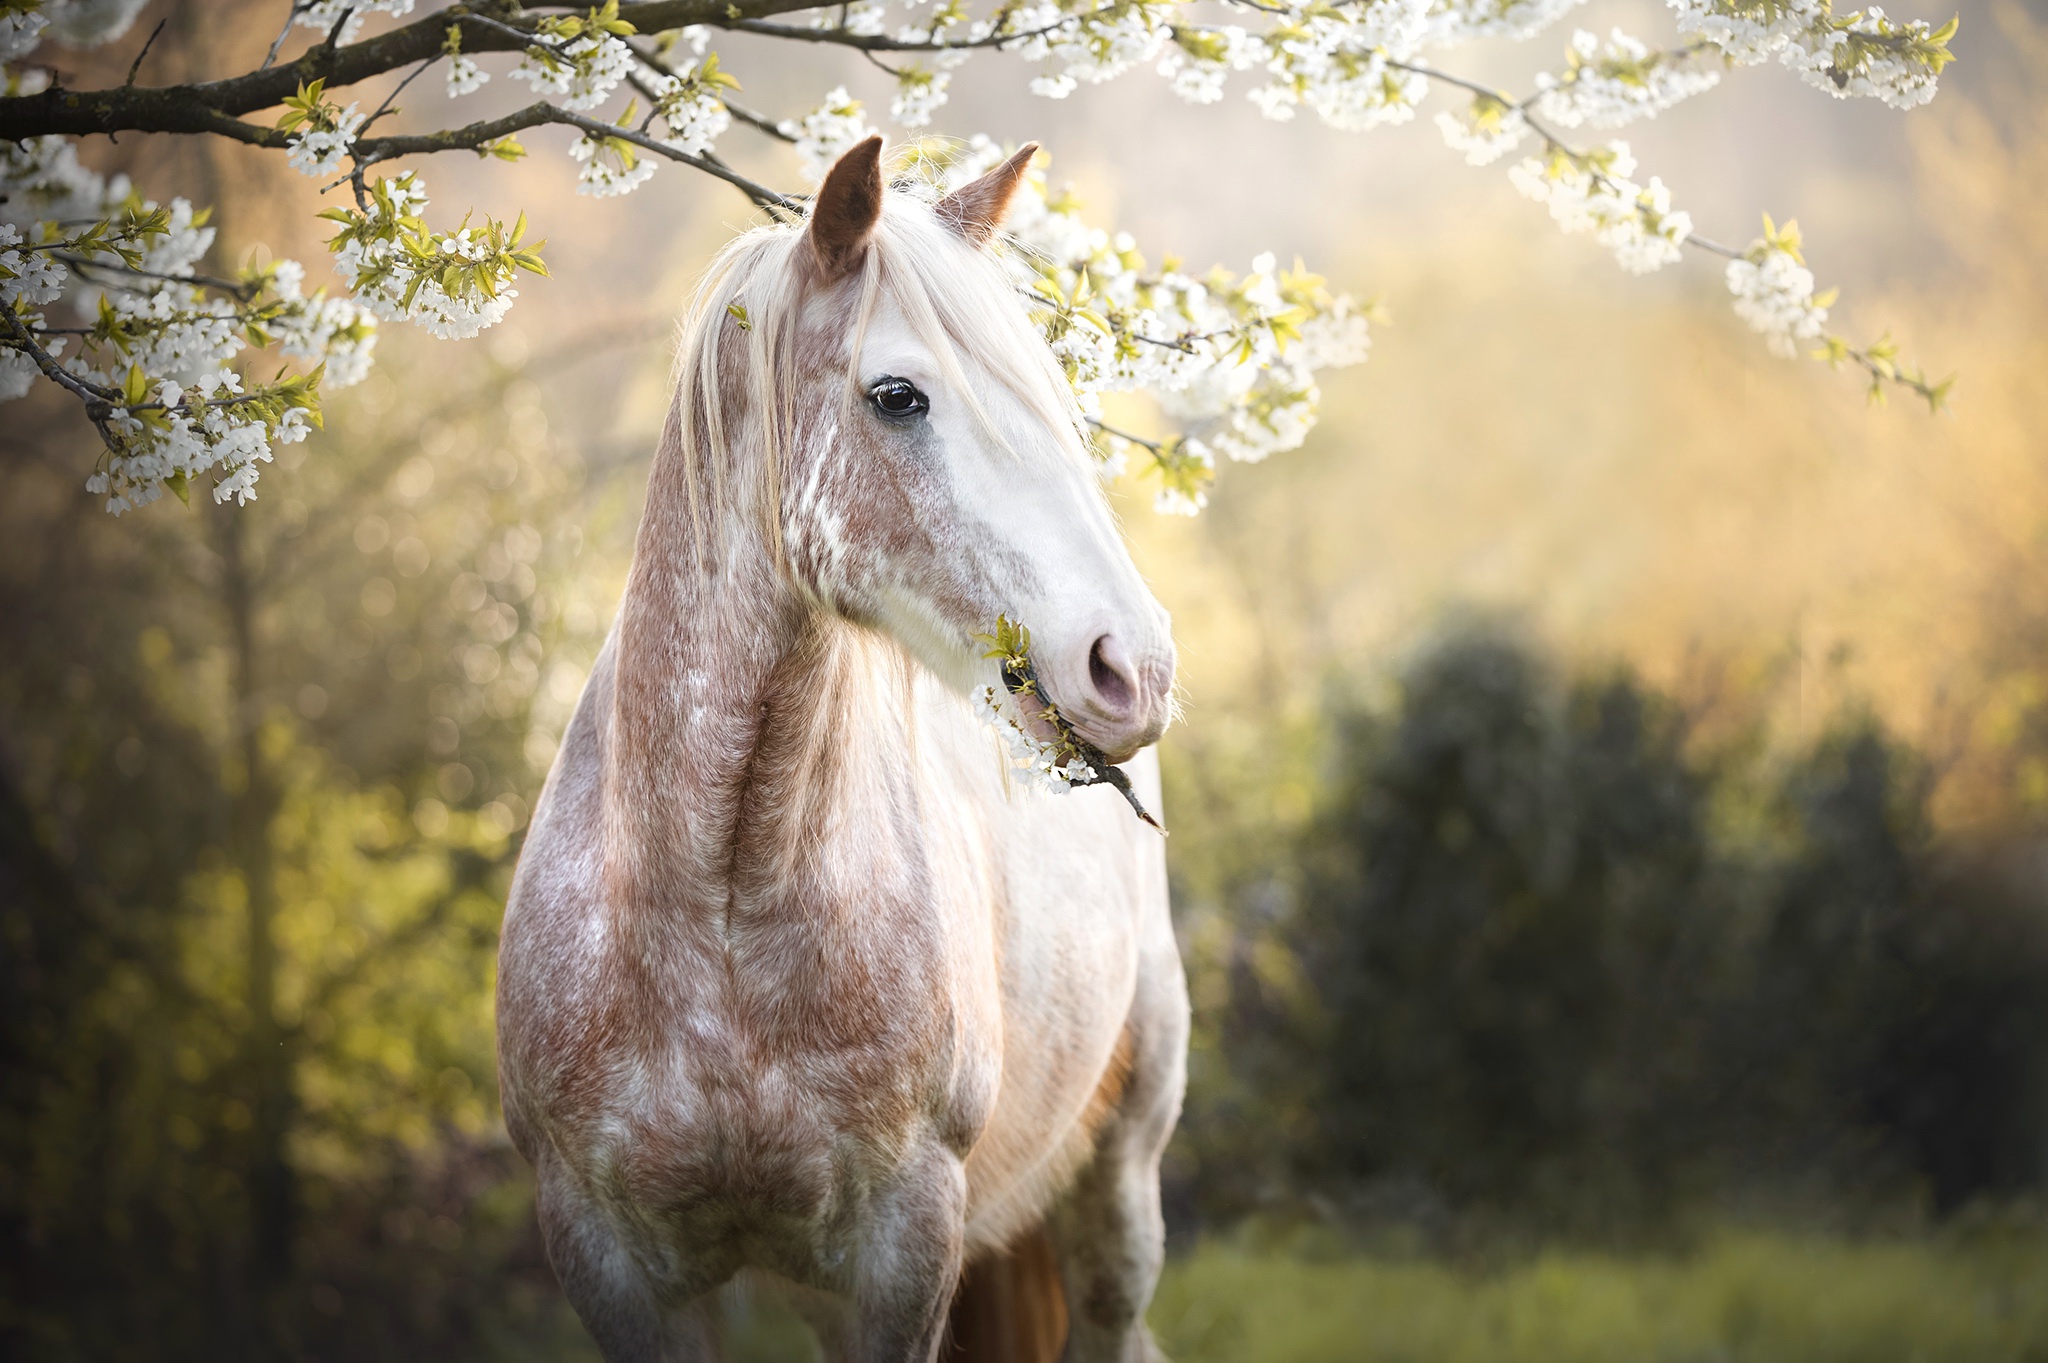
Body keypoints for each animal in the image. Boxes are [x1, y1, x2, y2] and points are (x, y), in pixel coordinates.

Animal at [495, 140, 1196, 1358]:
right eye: (897, 395)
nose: (1131, 664)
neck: (720, 917)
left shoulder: (901, 1248)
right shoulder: (610, 1259)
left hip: (1118, 1187)